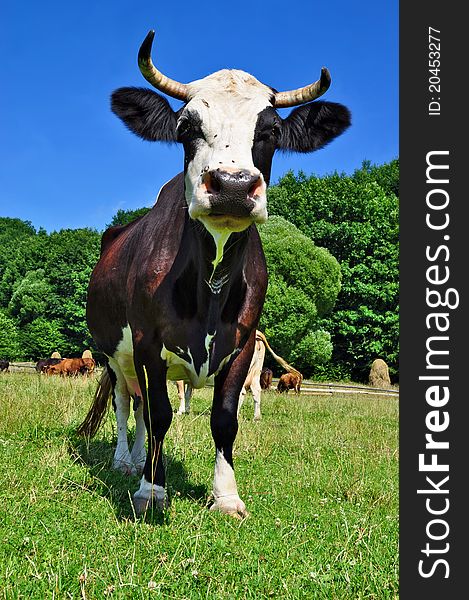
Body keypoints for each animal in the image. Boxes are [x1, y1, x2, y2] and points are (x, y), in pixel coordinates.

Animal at [76, 30, 348, 516]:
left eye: (271, 131)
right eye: (186, 126)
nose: (233, 186)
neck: (211, 283)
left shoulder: (241, 344)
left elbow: (224, 419)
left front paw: (226, 495)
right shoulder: (147, 343)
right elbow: (161, 415)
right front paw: (152, 489)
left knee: (140, 405)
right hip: (113, 354)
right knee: (128, 405)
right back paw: (126, 461)